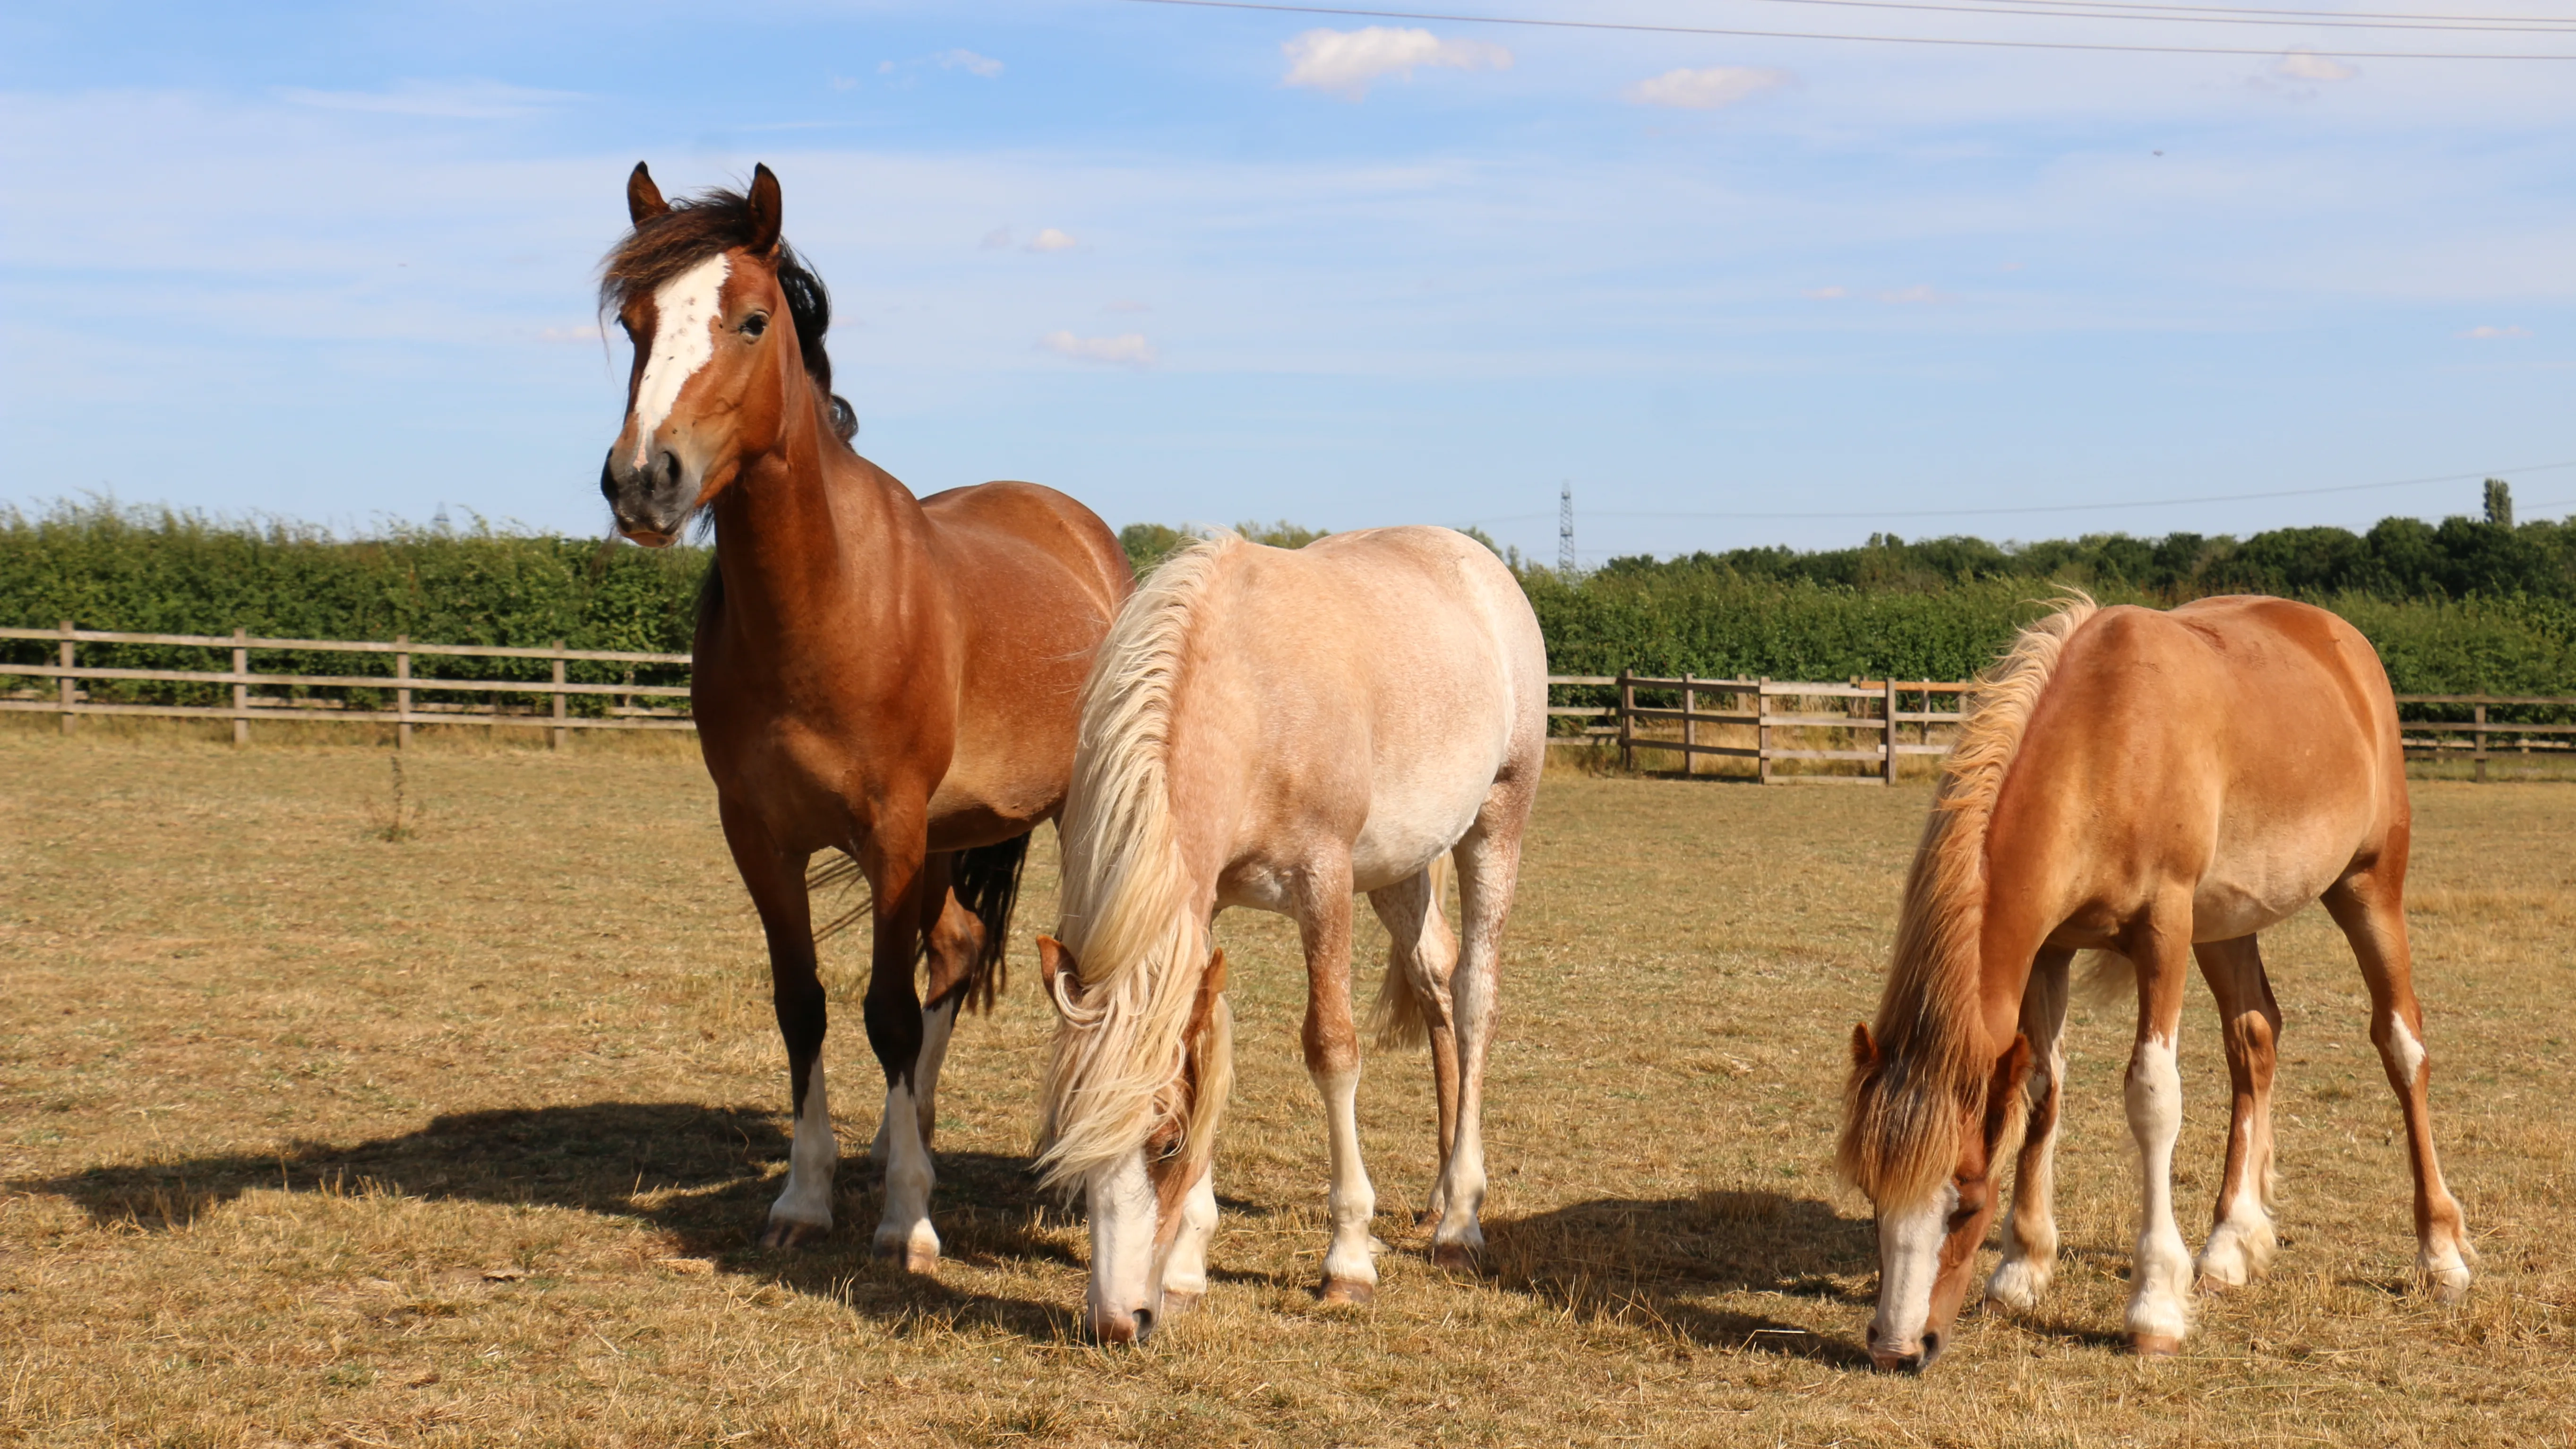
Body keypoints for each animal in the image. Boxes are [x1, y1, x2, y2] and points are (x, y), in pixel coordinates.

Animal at [596, 162, 1132, 1268]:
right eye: (633, 324)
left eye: (753, 320)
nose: (642, 480)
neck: (825, 600)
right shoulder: (761, 836)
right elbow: (802, 1006)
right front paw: (807, 1196)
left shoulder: (889, 832)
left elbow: (883, 1010)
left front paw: (907, 1220)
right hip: (948, 836)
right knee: (957, 953)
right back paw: (903, 1134)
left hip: (1059, 817)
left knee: (1068, 971)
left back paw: (1063, 1160)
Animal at [1028, 527, 1547, 1343]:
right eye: (1073, 1145)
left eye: (1165, 1142)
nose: (1117, 1322)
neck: (1248, 696)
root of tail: (1477, 561)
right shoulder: (1206, 902)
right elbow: (1211, 1047)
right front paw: (1185, 1271)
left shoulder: (1323, 882)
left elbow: (1332, 1050)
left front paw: (1348, 1263)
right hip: (1399, 865)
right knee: (1434, 977)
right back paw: (1437, 1196)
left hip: (1497, 824)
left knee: (1473, 999)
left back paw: (1461, 1222)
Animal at [1839, 593, 2474, 1371]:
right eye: (1871, 1193)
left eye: (1967, 1200)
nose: (1896, 1349)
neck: (2103, 744)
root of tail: (2340, 639)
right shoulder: (2052, 948)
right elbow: (2044, 1090)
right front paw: (2022, 1269)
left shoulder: (2163, 931)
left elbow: (2152, 1097)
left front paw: (2154, 1308)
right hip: (2227, 924)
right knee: (2254, 1040)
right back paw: (2232, 1243)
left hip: (2369, 887)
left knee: (2400, 1044)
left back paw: (2440, 1255)